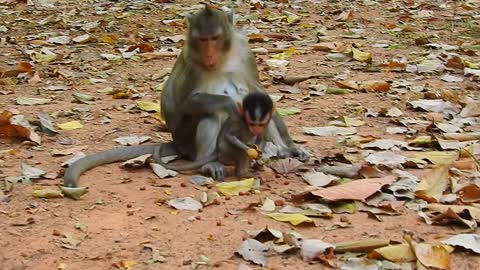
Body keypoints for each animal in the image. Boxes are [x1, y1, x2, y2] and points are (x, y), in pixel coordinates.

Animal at [63, 5, 308, 189]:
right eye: (202, 40)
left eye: (214, 38)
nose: (208, 54)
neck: (222, 58)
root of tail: (177, 143)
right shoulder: (191, 61)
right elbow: (187, 103)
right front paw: (232, 105)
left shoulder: (245, 52)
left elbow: (260, 94)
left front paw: (291, 146)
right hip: (186, 139)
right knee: (211, 115)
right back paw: (210, 163)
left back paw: (282, 151)